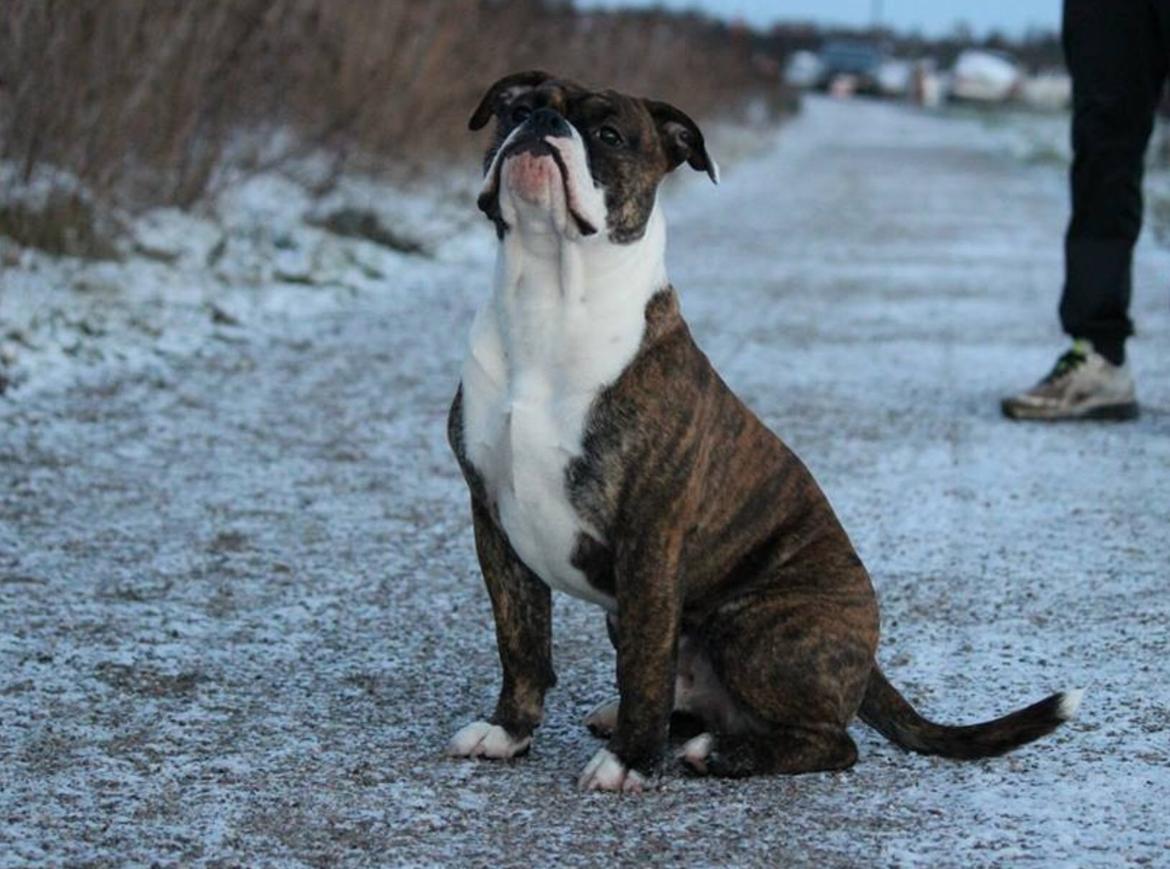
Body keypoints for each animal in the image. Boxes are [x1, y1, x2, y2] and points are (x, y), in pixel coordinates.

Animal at [444, 71, 1076, 795]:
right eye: (518, 108)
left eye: (608, 134)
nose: (543, 122)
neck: (546, 297)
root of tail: (866, 660)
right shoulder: (494, 519)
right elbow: (521, 643)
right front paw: (509, 731)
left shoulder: (650, 535)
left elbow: (642, 664)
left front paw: (630, 762)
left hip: (753, 623)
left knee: (830, 741)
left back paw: (715, 752)